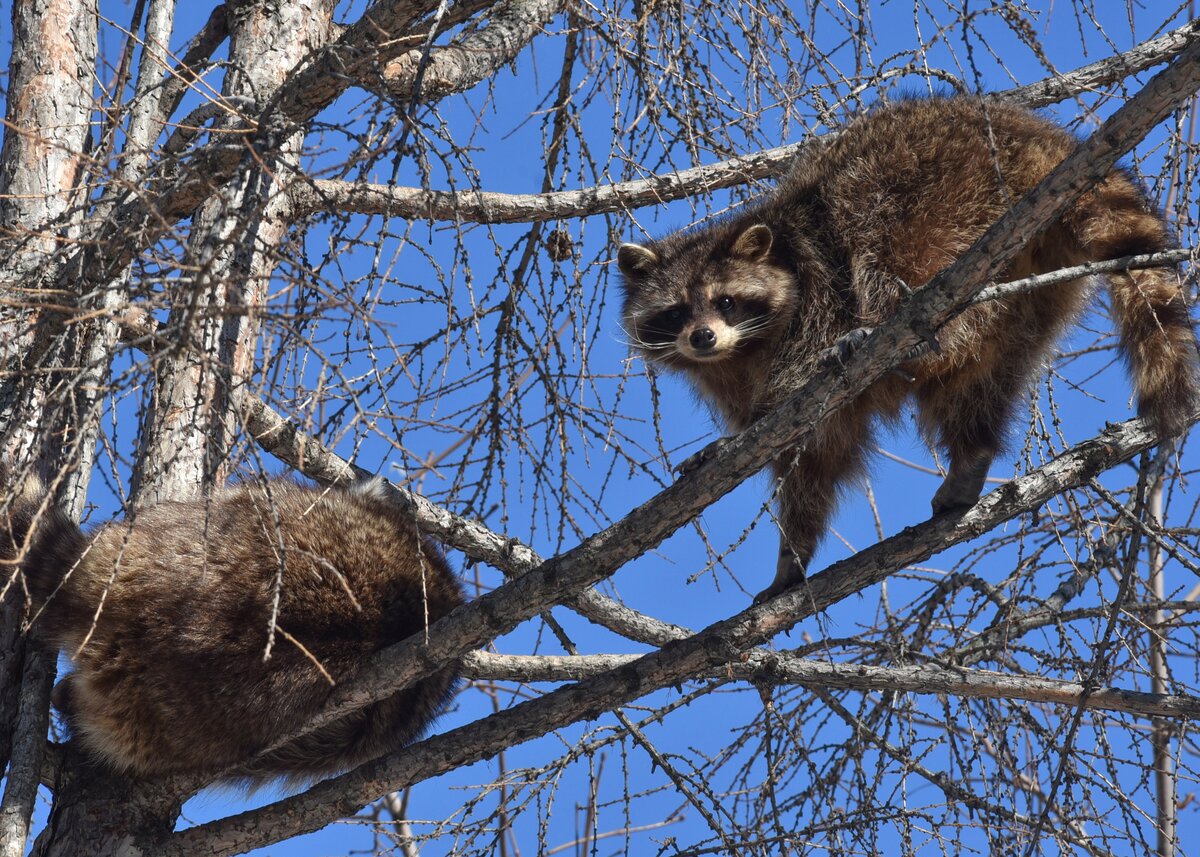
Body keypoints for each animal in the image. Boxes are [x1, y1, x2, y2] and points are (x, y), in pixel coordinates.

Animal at [619, 95, 1200, 600]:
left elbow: (805, 414)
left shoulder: (817, 296)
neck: (744, 348)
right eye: (677, 312)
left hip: (946, 189)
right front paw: (793, 552)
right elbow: (813, 462)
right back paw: (971, 454)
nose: (702, 337)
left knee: (880, 240)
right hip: (1035, 282)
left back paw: (903, 334)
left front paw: (741, 439)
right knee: (980, 379)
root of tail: (1042, 138)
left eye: (726, 301)